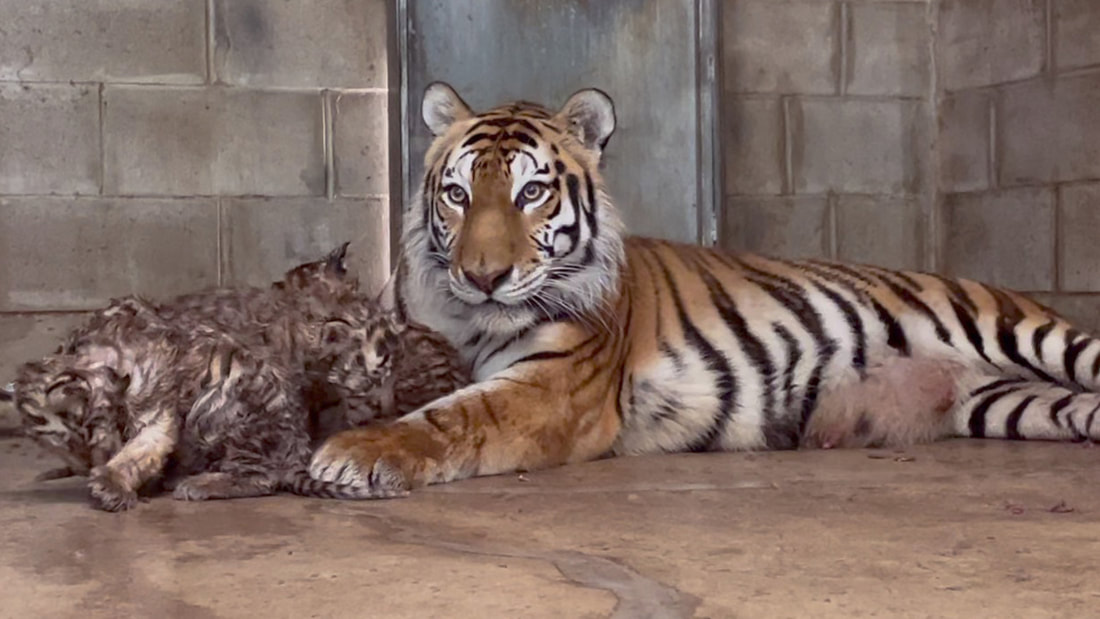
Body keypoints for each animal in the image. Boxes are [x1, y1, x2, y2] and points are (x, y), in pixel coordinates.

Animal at [308, 81, 1100, 496]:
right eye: (457, 194)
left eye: (532, 191)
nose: (482, 276)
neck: (474, 319)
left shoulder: (553, 386)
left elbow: (451, 418)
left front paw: (351, 453)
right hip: (1007, 402)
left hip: (1021, 331)